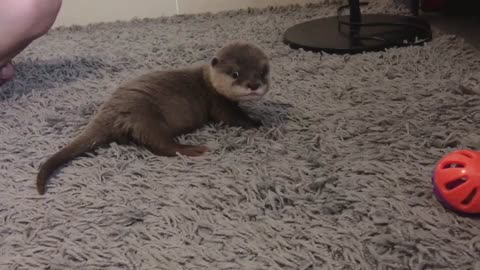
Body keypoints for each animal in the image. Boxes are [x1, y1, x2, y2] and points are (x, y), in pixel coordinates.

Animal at [36, 41, 270, 194]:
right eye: (235, 74)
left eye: (262, 72)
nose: (253, 85)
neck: (209, 82)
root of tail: (109, 111)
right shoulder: (218, 103)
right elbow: (233, 118)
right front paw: (258, 122)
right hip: (146, 117)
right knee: (161, 145)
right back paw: (193, 149)